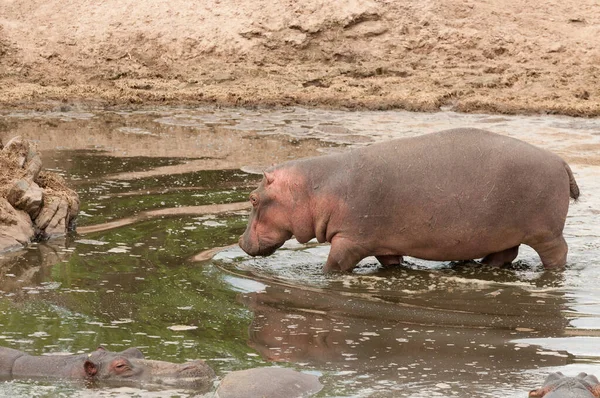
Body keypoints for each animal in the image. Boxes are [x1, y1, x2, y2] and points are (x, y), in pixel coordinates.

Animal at [240, 129, 580, 272]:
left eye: (253, 199)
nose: (241, 242)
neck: (314, 188)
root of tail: (560, 161)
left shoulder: (351, 239)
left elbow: (334, 264)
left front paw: (322, 275)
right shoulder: (381, 242)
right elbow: (390, 261)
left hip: (545, 233)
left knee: (557, 253)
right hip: (503, 230)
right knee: (505, 253)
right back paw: (477, 266)